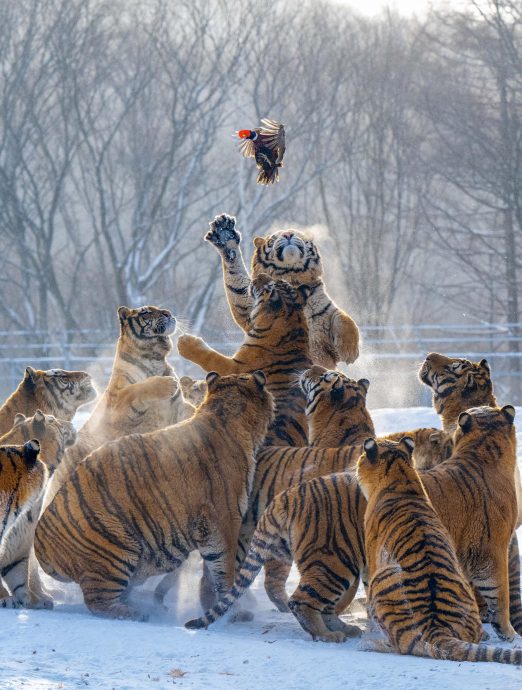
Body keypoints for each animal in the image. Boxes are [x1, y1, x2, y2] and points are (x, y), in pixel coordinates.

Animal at [34, 371, 274, 620]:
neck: (224, 413)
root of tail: (41, 548)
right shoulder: (225, 521)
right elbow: (225, 570)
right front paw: (234, 612)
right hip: (117, 547)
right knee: (97, 600)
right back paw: (134, 612)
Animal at [45, 305, 194, 508]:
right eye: (146, 312)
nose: (168, 313)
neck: (154, 357)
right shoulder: (118, 405)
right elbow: (137, 388)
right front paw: (168, 383)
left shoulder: (178, 409)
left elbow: (191, 411)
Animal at [178, 274, 312, 446]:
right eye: (277, 281)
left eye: (268, 285)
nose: (259, 275)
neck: (294, 321)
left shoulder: (235, 368)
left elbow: (210, 357)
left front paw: (185, 343)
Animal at [204, 213, 359, 368]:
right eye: (274, 238)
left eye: (297, 234)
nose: (288, 234)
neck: (291, 275)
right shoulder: (250, 309)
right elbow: (237, 283)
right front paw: (224, 235)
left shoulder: (326, 312)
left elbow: (345, 319)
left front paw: (349, 353)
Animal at [357, 436, 522, 665]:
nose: (356, 463)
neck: (401, 478)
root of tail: (436, 629)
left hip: (382, 579)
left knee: (397, 645)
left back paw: (369, 644)